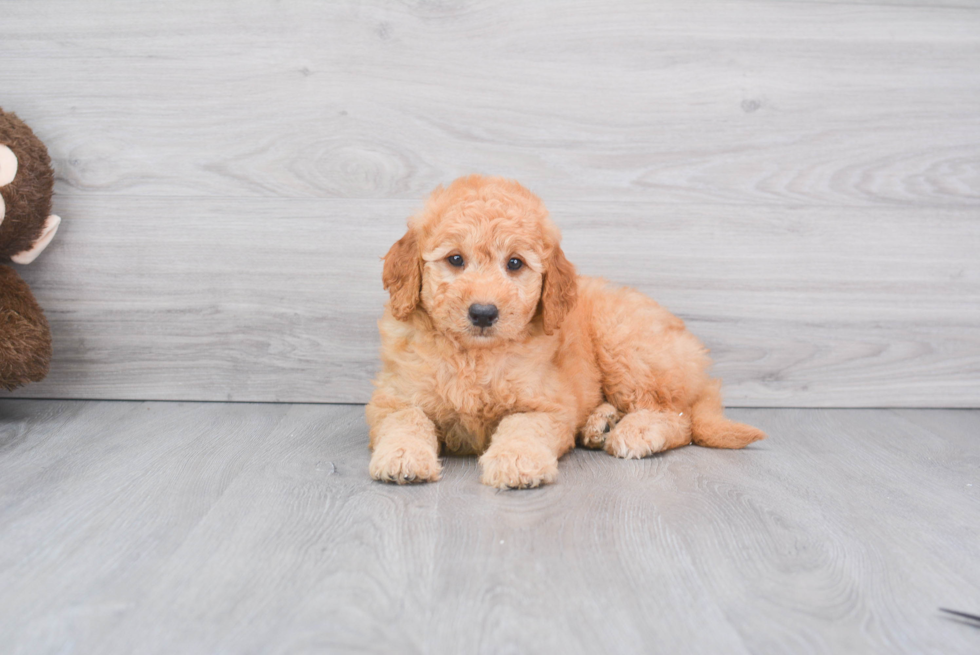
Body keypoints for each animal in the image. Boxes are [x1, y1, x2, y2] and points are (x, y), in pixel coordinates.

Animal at [368, 177, 764, 490]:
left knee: (679, 418)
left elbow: (523, 426)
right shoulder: (392, 398)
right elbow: (405, 419)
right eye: (455, 259)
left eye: (515, 263)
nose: (483, 313)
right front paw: (402, 455)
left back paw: (635, 432)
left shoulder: (548, 405)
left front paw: (517, 461)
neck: (475, 357)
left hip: (625, 344)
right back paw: (601, 423)